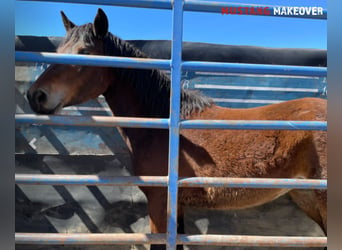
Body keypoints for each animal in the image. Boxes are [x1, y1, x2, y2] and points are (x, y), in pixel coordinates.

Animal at [26, 8, 326, 250]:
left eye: (85, 53)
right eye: (57, 52)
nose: (35, 95)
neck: (164, 124)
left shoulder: (160, 204)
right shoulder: (176, 207)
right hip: (306, 196)